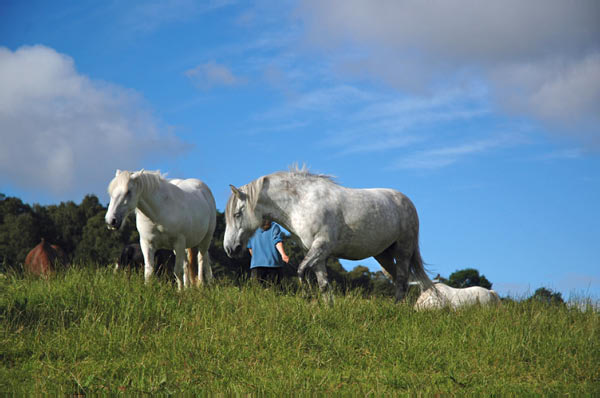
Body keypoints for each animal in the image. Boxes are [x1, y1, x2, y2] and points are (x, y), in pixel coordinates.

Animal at [223, 166, 434, 300]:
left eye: (237, 214)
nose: (230, 248)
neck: (301, 202)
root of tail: (406, 201)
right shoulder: (317, 253)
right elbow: (323, 284)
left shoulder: (321, 246)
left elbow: (301, 271)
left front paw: (307, 295)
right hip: (383, 255)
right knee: (399, 280)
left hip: (404, 250)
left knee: (402, 281)